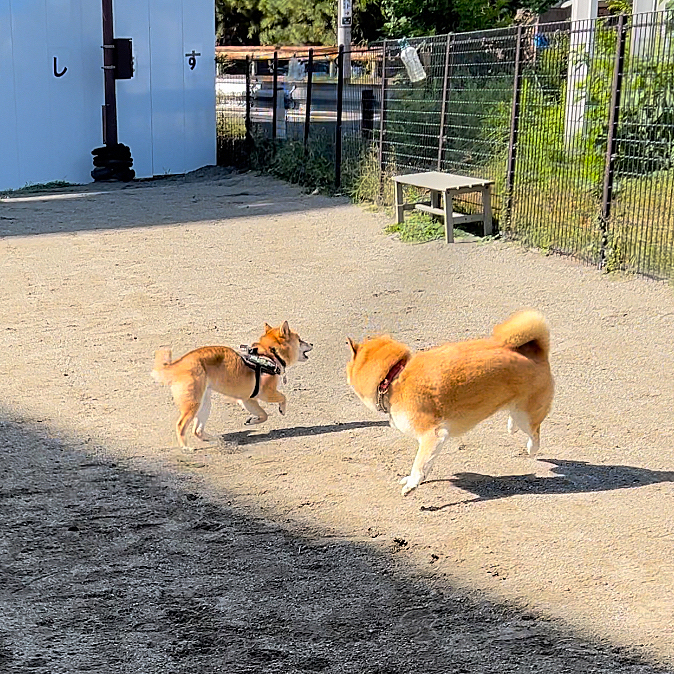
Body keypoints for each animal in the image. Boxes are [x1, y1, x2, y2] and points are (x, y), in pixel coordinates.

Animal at [152, 320, 312, 446]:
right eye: (300, 340)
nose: (311, 343)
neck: (269, 354)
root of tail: (178, 364)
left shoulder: (247, 400)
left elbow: (263, 415)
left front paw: (252, 420)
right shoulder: (266, 394)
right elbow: (283, 397)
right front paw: (282, 409)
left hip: (204, 404)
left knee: (197, 431)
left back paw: (215, 440)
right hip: (193, 404)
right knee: (181, 426)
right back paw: (186, 448)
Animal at [344, 310, 552, 494]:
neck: (393, 376)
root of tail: (536, 352)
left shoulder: (433, 435)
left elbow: (419, 464)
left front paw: (412, 484)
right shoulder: (433, 442)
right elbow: (427, 465)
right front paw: (416, 479)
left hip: (526, 415)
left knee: (535, 433)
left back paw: (531, 448)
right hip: (516, 407)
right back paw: (511, 426)